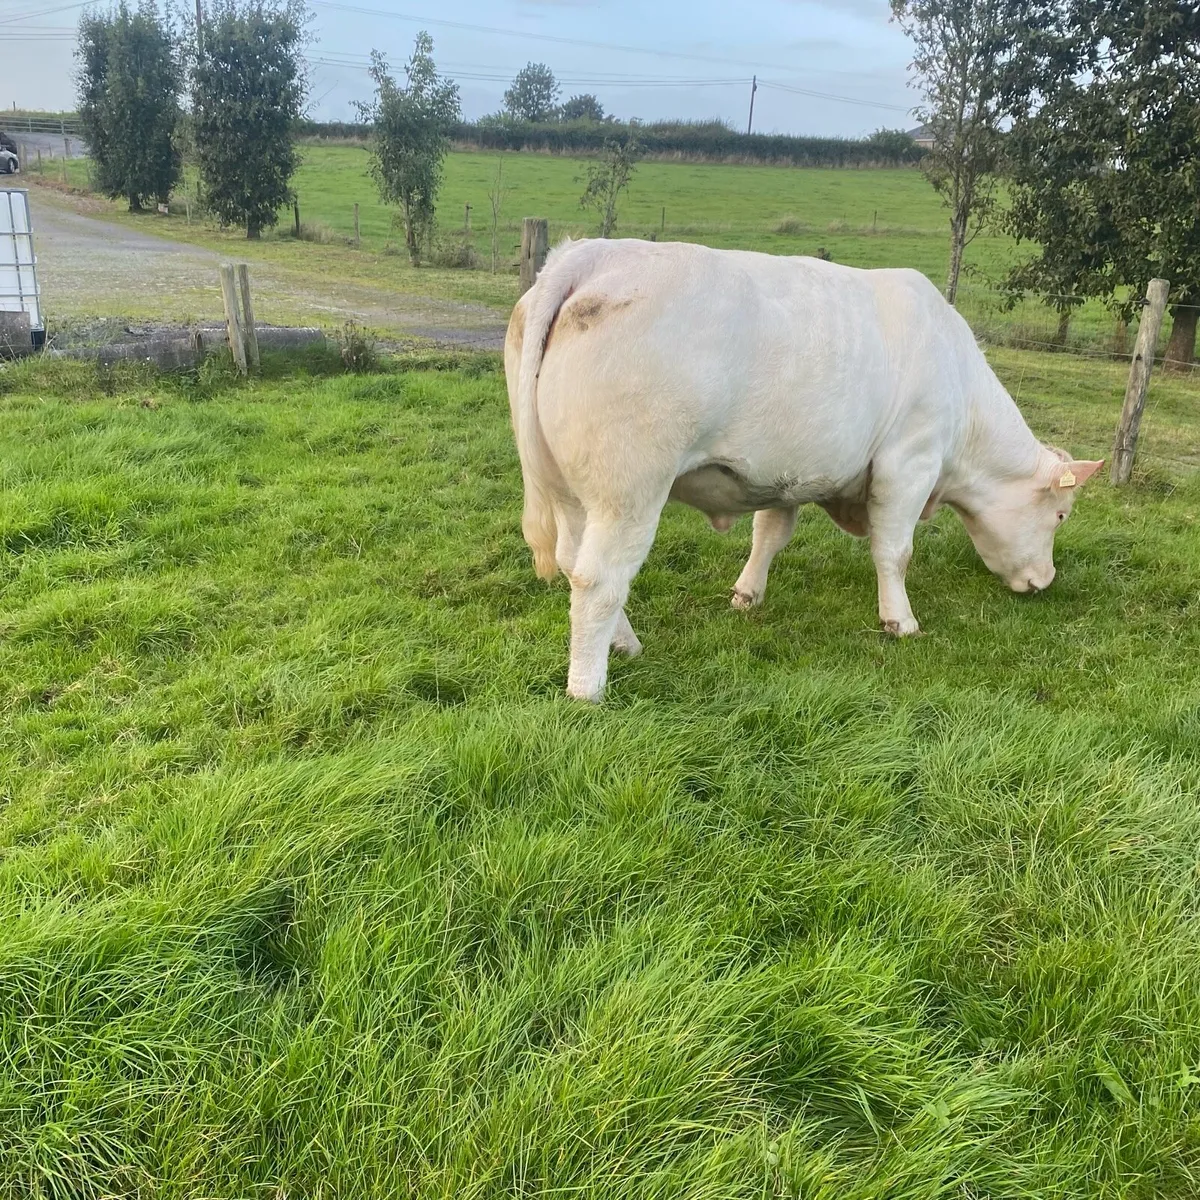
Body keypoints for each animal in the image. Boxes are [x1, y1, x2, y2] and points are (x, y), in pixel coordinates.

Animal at [505, 238, 1103, 702]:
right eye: (1061, 515)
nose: (1045, 581)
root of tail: (590, 254)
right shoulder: (909, 461)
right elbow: (895, 551)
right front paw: (900, 621)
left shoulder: (784, 476)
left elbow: (769, 533)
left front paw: (747, 595)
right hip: (629, 488)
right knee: (599, 578)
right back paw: (588, 689)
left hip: (570, 491)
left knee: (571, 559)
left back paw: (623, 643)